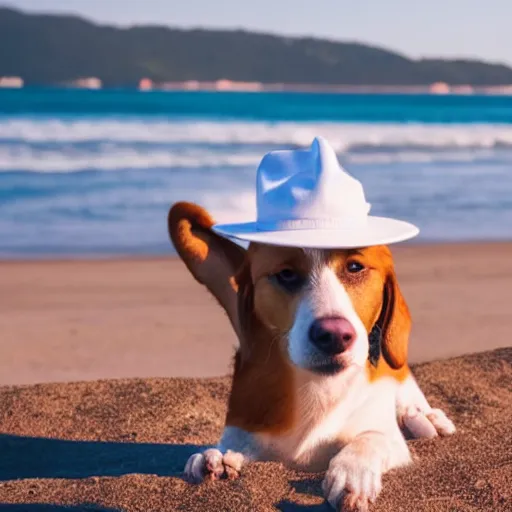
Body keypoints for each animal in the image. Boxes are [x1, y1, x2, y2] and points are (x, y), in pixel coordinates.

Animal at [168, 138, 456, 510]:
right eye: (286, 274)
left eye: (355, 267)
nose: (334, 336)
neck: (318, 392)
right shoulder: (248, 427)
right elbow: (237, 444)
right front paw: (216, 457)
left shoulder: (380, 430)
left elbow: (370, 438)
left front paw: (352, 473)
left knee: (403, 384)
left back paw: (422, 415)